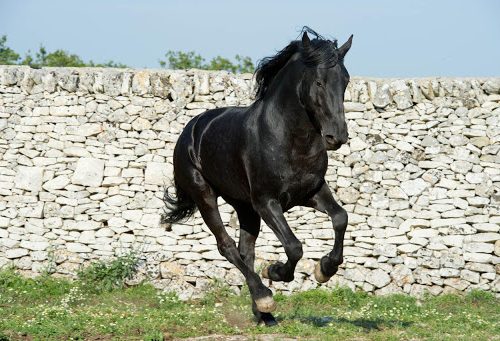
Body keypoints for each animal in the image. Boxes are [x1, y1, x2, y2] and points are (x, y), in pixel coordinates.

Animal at [163, 27, 352, 324]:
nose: (337, 137)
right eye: (319, 82)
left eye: (345, 81)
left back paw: (263, 314)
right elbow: (294, 246)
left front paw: (325, 269)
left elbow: (340, 218)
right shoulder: (267, 201)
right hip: (206, 196)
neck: (288, 138)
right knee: (227, 246)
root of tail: (190, 131)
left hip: (245, 207)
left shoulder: (312, 192)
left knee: (245, 250)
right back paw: (264, 298)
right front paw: (275, 272)